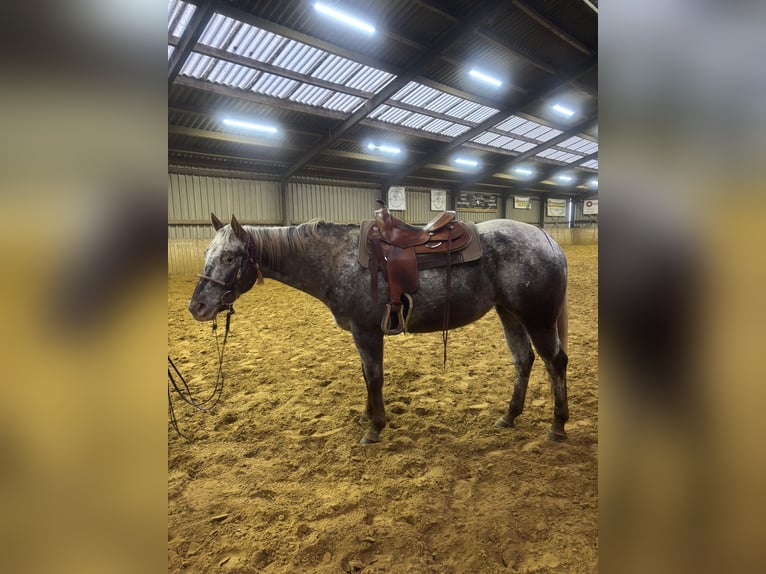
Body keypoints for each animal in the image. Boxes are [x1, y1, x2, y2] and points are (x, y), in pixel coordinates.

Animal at [188, 213, 569, 444]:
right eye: (206, 252)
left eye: (229, 257)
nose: (197, 307)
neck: (337, 261)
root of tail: (547, 238)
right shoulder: (362, 334)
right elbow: (365, 374)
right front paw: (366, 416)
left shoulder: (367, 331)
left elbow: (373, 376)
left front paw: (375, 428)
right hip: (509, 313)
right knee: (524, 360)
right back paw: (509, 416)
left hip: (536, 317)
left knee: (556, 363)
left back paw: (558, 426)